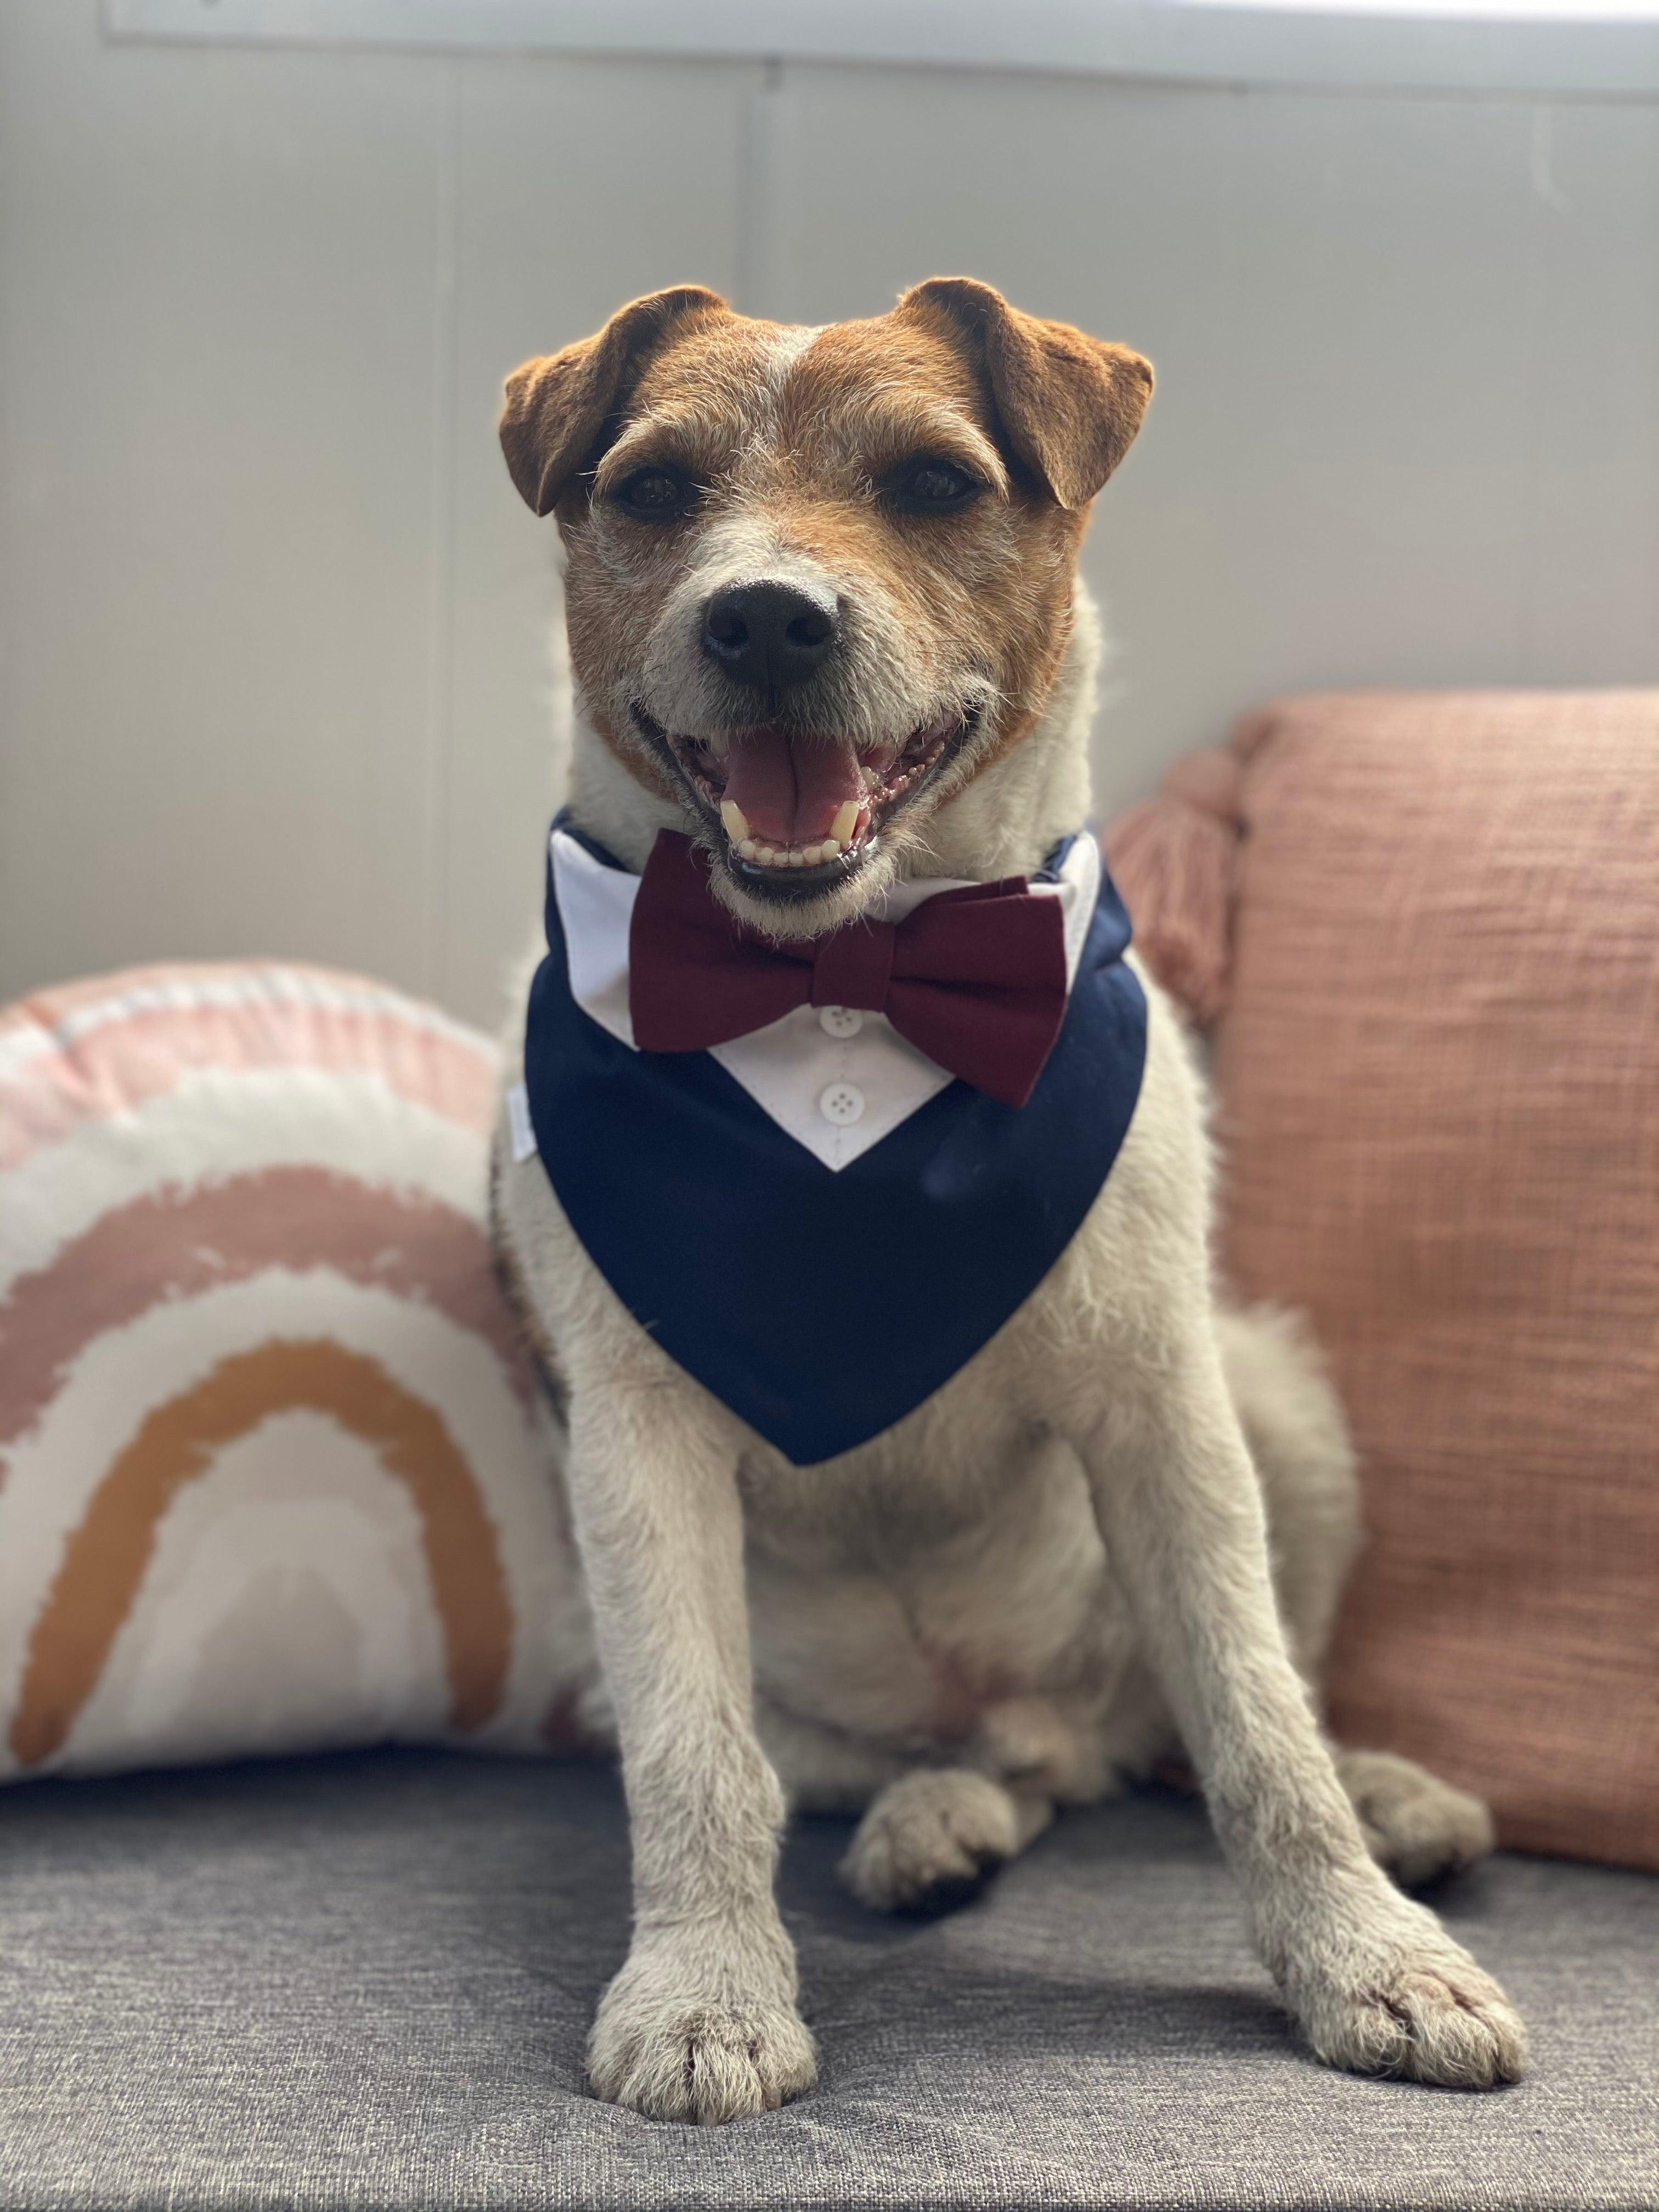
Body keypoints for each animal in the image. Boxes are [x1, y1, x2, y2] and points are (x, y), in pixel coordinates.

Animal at [487, 281, 1531, 2123]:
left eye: (931, 482)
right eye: (657, 489)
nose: (766, 620)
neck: (849, 978)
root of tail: (1046, 1719)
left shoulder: (1167, 1409)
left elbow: (1260, 1726)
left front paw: (1369, 1959)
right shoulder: (634, 1446)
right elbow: (699, 1761)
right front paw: (704, 1991)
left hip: (1278, 1398)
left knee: (1215, 1720)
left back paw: (1390, 1797)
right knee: (926, 1771)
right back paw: (938, 1821)